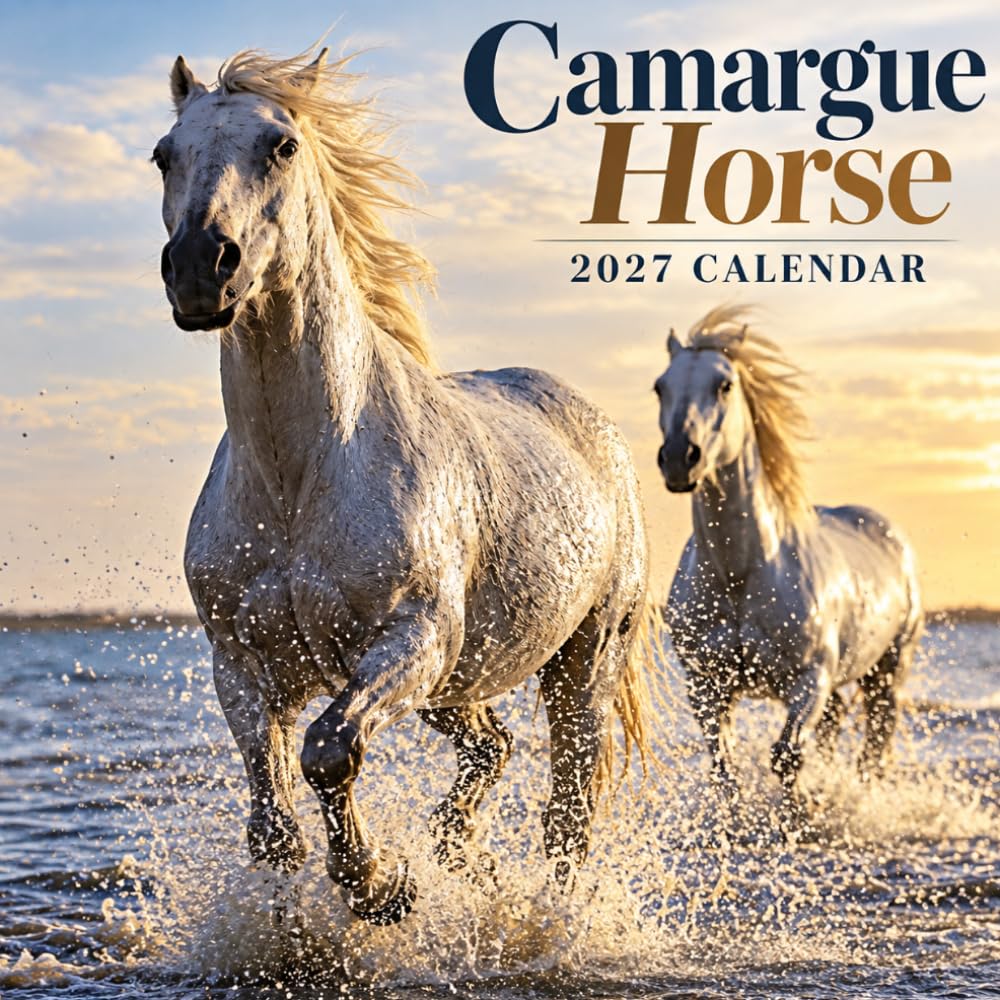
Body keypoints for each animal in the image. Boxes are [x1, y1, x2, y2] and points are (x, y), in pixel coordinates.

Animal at [153, 45, 653, 925]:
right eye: (162, 155)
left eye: (283, 145)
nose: (199, 269)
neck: (301, 477)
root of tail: (598, 430)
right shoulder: (241, 664)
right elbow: (273, 826)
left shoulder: (409, 640)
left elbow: (329, 751)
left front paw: (382, 886)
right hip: (459, 683)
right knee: (493, 747)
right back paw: (467, 860)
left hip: (579, 667)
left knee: (568, 816)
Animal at [653, 307, 923, 835]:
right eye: (660, 386)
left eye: (724, 385)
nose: (679, 458)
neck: (742, 574)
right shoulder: (706, 684)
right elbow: (724, 762)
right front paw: (737, 824)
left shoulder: (807, 680)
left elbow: (785, 755)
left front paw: (800, 816)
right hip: (843, 683)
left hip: (887, 671)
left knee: (873, 749)